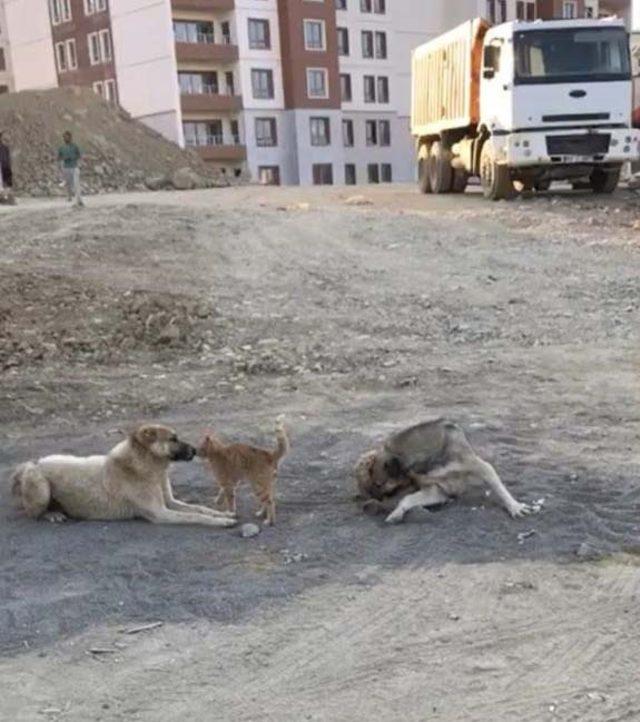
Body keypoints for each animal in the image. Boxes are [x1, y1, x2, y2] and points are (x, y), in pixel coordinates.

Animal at [10, 420, 235, 524]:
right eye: (173, 439)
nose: (195, 450)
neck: (149, 467)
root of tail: (33, 462)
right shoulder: (161, 513)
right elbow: (195, 517)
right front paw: (222, 521)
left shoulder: (171, 503)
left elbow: (199, 509)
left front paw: (223, 514)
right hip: (40, 486)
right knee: (33, 513)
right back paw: (52, 514)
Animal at [356, 416, 540, 524]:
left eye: (380, 484)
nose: (373, 499)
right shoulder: (437, 490)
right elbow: (407, 499)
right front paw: (396, 512)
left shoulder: (480, 467)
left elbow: (498, 486)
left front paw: (514, 506)